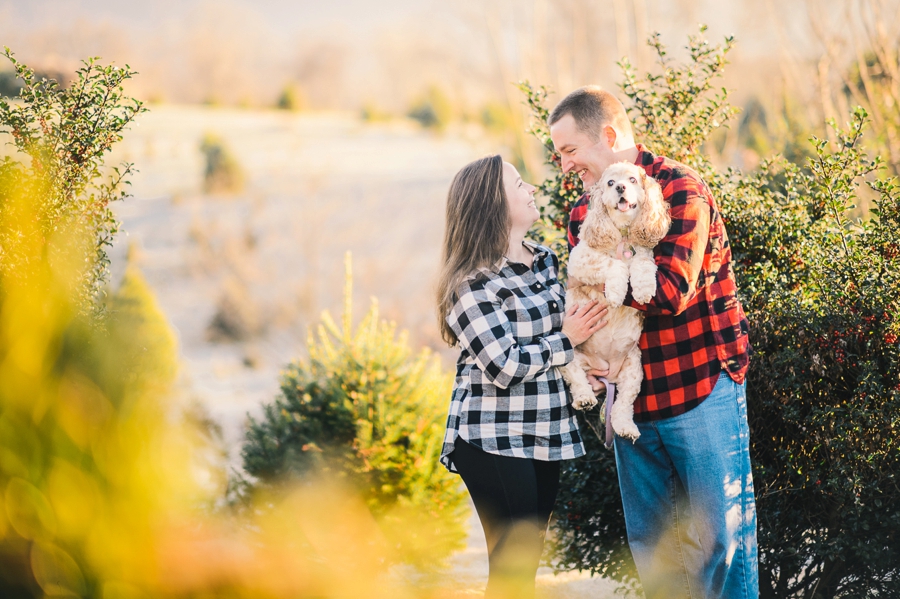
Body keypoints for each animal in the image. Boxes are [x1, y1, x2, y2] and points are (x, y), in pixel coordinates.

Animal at [564, 162, 668, 442]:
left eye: (632, 179)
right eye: (610, 183)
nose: (621, 187)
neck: (621, 234)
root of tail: (606, 372)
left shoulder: (644, 253)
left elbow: (643, 266)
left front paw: (643, 290)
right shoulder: (580, 260)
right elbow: (614, 264)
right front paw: (615, 291)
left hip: (634, 370)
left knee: (623, 405)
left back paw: (626, 428)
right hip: (570, 356)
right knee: (576, 379)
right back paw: (585, 399)